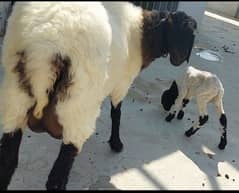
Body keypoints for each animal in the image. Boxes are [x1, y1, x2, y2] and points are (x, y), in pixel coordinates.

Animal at [0, 1, 197, 190]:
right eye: (184, 32)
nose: (179, 59)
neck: (142, 34)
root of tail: (45, 48)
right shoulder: (122, 84)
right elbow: (116, 113)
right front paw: (116, 144)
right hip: (77, 108)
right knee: (56, 180)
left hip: (16, 99)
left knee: (8, 163)